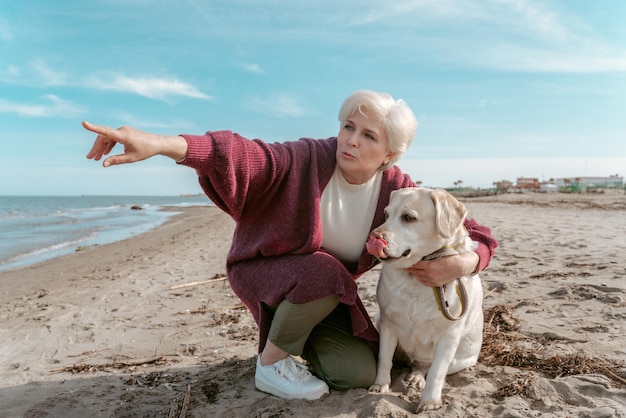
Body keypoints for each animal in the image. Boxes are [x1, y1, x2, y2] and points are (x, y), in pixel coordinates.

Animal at [366, 189, 482, 412]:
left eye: (408, 217)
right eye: (386, 214)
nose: (372, 238)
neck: (415, 278)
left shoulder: (448, 337)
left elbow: (436, 373)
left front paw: (430, 401)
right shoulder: (387, 324)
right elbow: (384, 359)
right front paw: (380, 385)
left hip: (460, 360)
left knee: (429, 369)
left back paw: (418, 379)